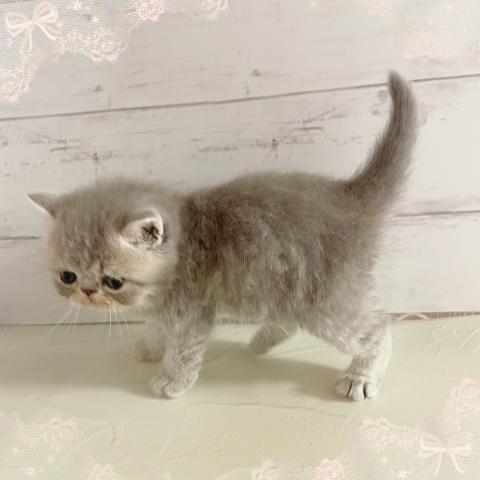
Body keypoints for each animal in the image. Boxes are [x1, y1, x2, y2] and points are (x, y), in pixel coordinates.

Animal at [30, 72, 417, 401]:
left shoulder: (192, 314)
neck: (183, 245)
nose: (87, 293)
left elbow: (183, 350)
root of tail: (350, 196)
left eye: (113, 282)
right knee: (288, 319)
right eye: (68, 276)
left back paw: (361, 376)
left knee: (376, 327)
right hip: (287, 284)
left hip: (325, 301)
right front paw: (149, 346)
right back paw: (261, 342)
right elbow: (157, 327)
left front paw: (170, 380)